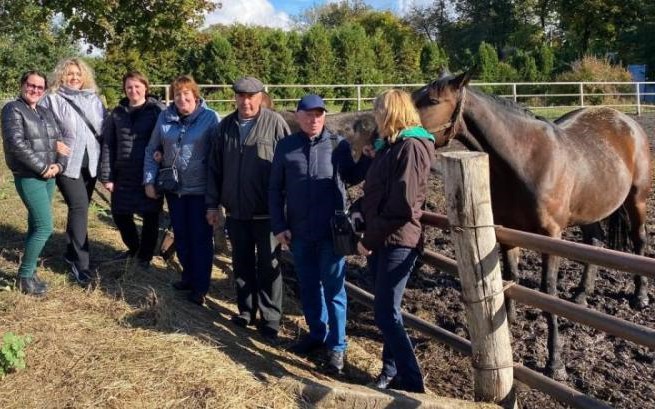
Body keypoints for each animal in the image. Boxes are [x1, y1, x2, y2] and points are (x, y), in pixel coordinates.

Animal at [412, 70, 652, 380]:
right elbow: (509, 277)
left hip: (637, 200)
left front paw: (555, 363)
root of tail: (626, 121)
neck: (525, 160)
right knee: (595, 242)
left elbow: (548, 296)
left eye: (432, 100)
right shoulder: (507, 233)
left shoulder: (550, 238)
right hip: (590, 208)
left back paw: (640, 296)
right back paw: (581, 294)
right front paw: (508, 326)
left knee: (638, 241)